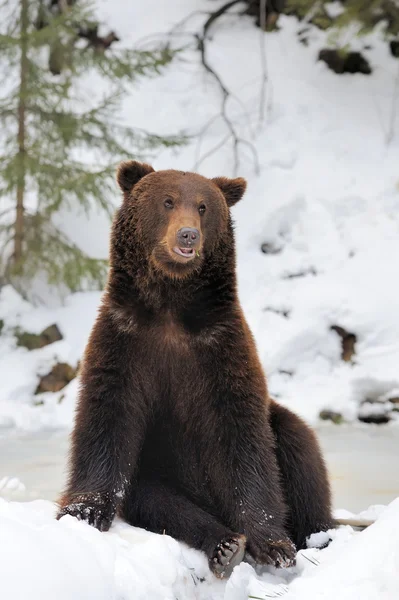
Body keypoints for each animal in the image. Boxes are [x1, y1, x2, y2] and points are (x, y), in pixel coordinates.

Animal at [55, 162, 332, 580]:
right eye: (167, 201)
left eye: (203, 206)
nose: (188, 234)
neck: (171, 304)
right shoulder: (125, 341)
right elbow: (107, 417)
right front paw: (82, 511)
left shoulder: (219, 346)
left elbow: (242, 437)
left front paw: (273, 543)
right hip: (155, 468)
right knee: (159, 502)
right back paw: (224, 544)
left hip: (280, 434)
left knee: (298, 447)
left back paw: (315, 536)